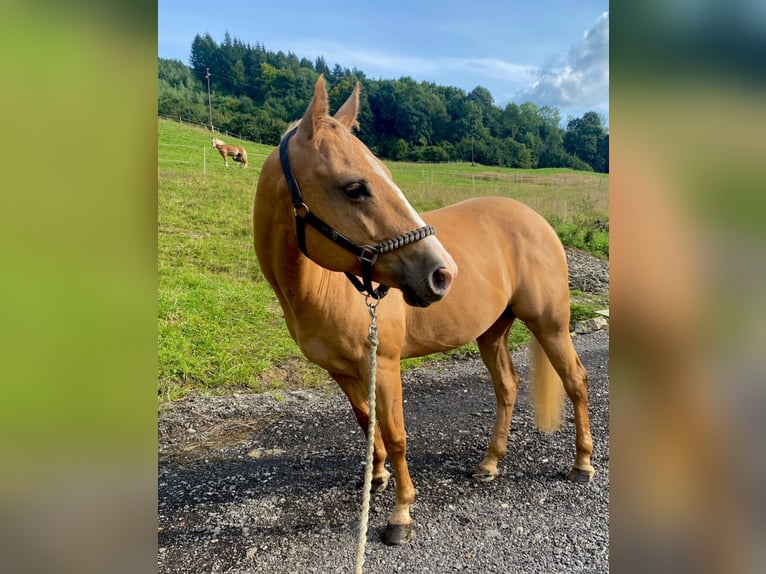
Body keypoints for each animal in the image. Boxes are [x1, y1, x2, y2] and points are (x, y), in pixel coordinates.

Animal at [252, 75, 594, 546]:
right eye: (355, 187)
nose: (442, 273)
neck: (319, 288)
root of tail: (537, 220)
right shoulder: (344, 371)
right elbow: (367, 423)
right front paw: (376, 477)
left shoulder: (385, 364)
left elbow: (395, 435)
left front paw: (401, 514)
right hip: (492, 331)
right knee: (507, 386)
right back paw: (489, 463)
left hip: (551, 326)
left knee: (575, 381)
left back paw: (582, 464)